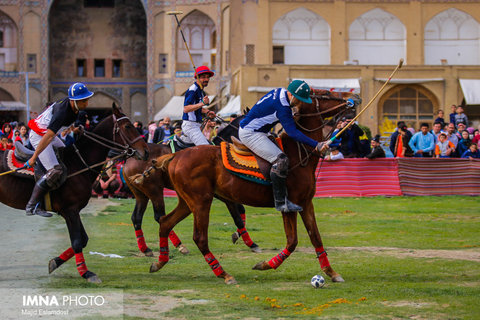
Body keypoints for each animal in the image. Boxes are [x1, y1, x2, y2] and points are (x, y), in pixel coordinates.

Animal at [0, 104, 148, 282]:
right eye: (127, 126)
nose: (146, 151)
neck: (79, 163)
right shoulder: (70, 210)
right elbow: (77, 241)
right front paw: (86, 273)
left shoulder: (71, 211)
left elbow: (83, 240)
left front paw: (55, 262)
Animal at [122, 116, 260, 256]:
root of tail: (128, 160)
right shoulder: (222, 195)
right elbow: (238, 217)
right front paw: (251, 243)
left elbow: (241, 211)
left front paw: (239, 236)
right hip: (154, 190)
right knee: (159, 216)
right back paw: (180, 245)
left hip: (141, 194)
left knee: (136, 218)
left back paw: (146, 249)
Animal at [150, 89, 360, 282]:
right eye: (326, 94)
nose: (355, 97)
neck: (299, 154)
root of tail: (174, 156)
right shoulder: (288, 205)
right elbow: (292, 241)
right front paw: (265, 264)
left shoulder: (306, 203)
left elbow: (315, 236)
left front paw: (332, 273)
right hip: (201, 201)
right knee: (199, 237)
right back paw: (224, 274)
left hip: (188, 202)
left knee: (165, 222)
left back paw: (159, 262)